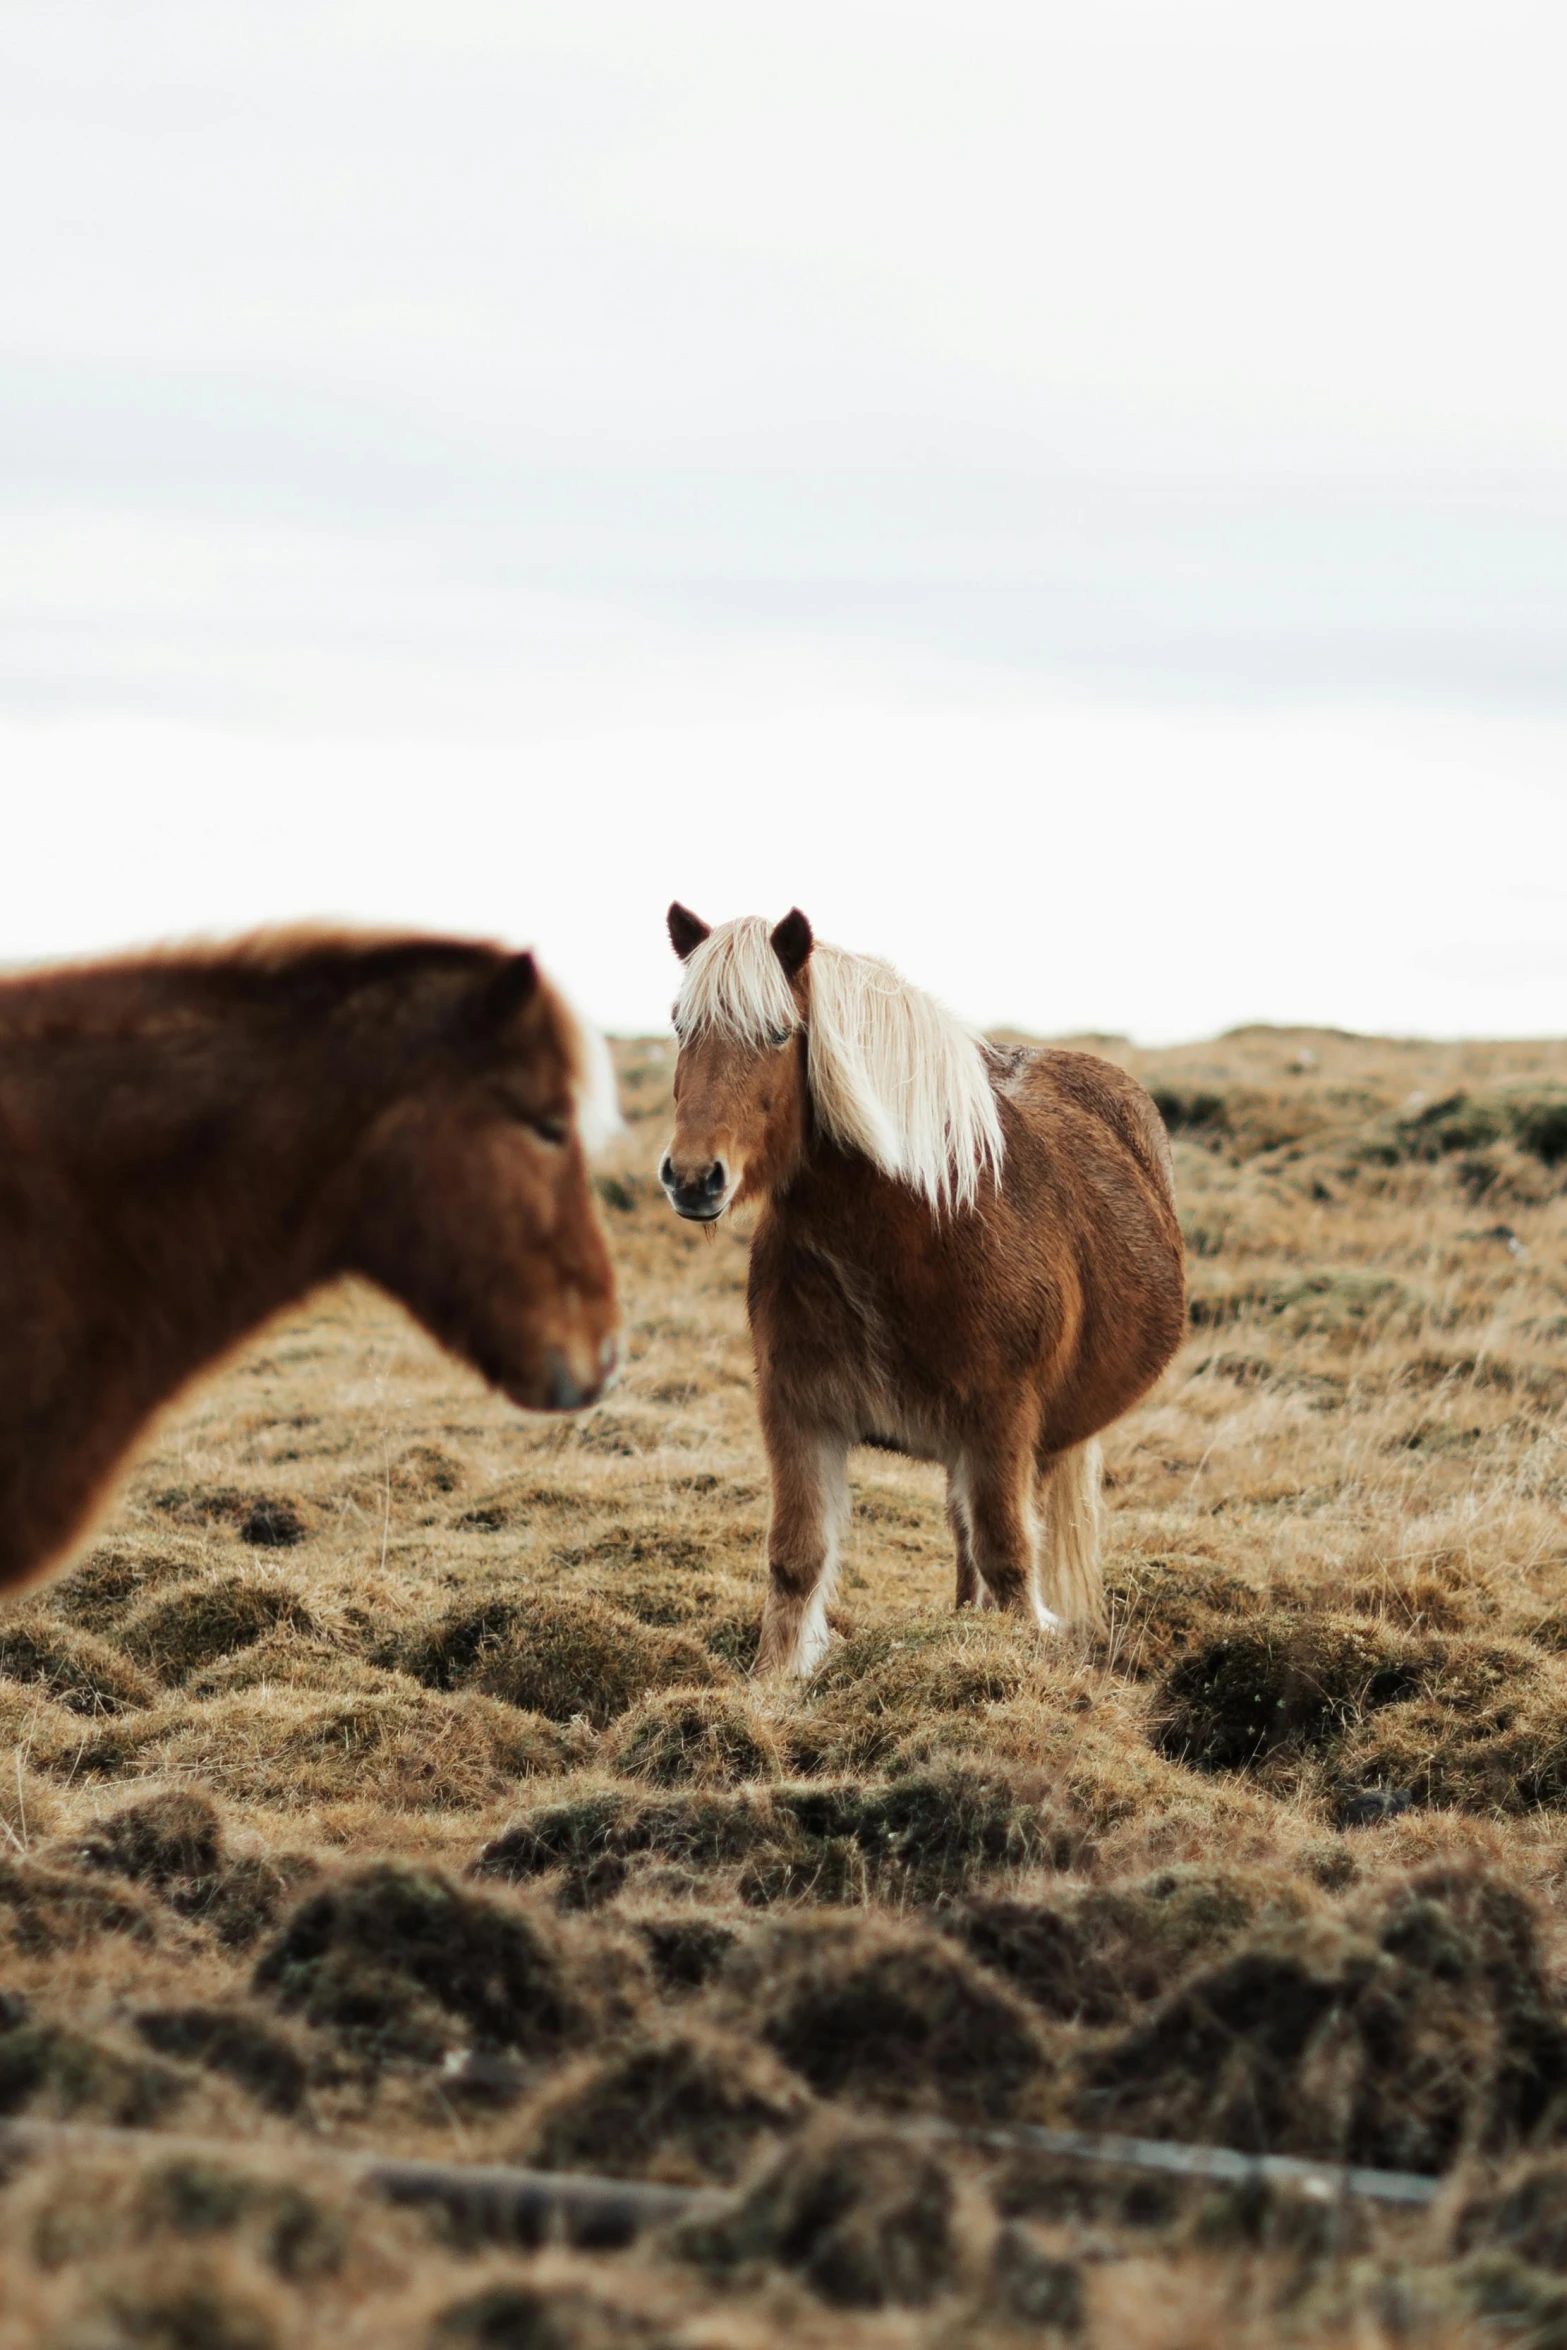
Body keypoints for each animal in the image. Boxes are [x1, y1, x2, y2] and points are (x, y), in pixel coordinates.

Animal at [657, 907, 1184, 1682]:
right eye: (679, 1026)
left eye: (779, 1033)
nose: (693, 1178)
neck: (910, 1230)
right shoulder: (796, 1408)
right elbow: (796, 1559)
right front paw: (771, 1685)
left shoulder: (1001, 1420)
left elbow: (1009, 1561)